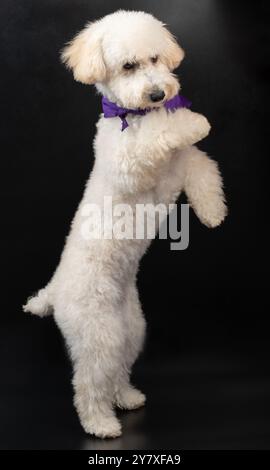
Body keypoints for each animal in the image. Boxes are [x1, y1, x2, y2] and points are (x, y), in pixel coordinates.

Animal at [23, 10, 227, 436]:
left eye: (155, 59)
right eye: (128, 66)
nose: (158, 95)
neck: (133, 117)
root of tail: (54, 290)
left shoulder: (184, 164)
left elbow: (205, 173)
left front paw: (213, 213)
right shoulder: (131, 163)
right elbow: (162, 132)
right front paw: (192, 121)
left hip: (130, 330)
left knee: (116, 370)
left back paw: (127, 397)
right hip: (96, 334)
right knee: (88, 382)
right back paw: (100, 423)